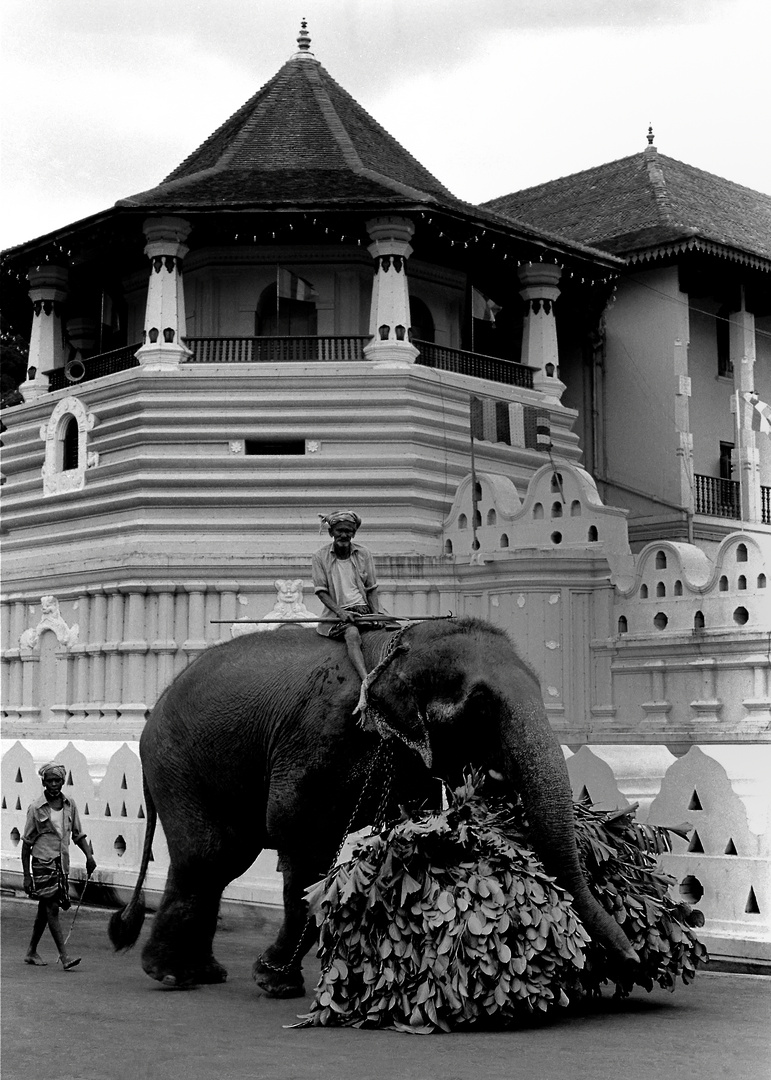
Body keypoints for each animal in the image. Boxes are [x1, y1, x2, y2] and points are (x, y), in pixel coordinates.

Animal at [107, 617, 634, 993]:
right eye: (481, 706)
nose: (630, 961)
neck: (397, 646)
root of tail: (150, 714)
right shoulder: (321, 734)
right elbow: (300, 838)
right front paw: (273, 981)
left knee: (223, 859)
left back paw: (198, 973)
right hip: (178, 761)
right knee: (211, 854)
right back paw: (174, 976)